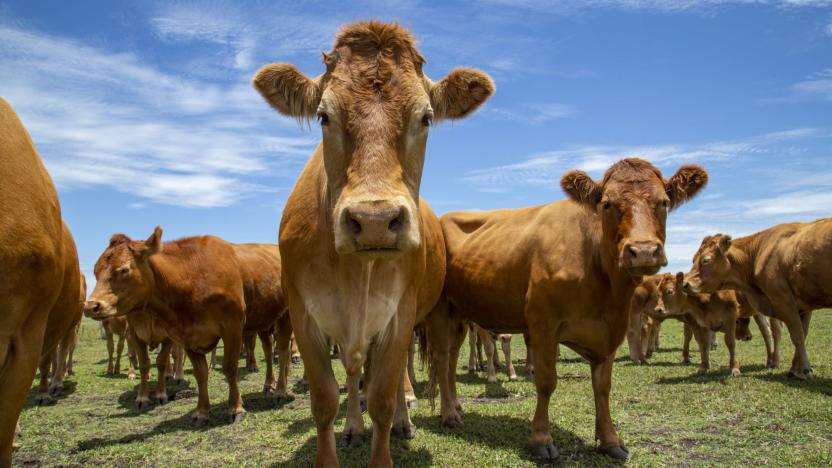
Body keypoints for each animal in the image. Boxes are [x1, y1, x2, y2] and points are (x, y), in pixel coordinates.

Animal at [84, 229, 249, 426]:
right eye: (95, 272)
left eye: (124, 269)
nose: (90, 306)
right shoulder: (148, 334)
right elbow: (148, 364)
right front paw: (143, 398)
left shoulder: (228, 328)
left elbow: (165, 361)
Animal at [254, 20, 494, 466]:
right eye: (323, 115)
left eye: (426, 118)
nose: (375, 221)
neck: (355, 273)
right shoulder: (304, 316)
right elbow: (325, 401)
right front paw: (344, 430)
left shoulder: (399, 315)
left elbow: (383, 395)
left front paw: (392, 423)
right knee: (356, 374)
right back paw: (353, 425)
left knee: (430, 365)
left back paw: (421, 416)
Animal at [428, 158, 708, 460]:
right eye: (607, 204)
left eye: (664, 202)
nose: (643, 251)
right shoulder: (543, 325)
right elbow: (546, 382)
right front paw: (541, 440)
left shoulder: (611, 330)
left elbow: (603, 387)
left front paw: (610, 440)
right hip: (441, 310)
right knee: (442, 358)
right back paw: (449, 414)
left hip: (460, 312)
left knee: (452, 358)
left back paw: (455, 407)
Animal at [684, 220, 832, 380]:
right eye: (693, 259)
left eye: (706, 260)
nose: (685, 283)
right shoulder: (803, 307)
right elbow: (802, 335)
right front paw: (795, 369)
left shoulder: (784, 302)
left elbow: (797, 336)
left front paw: (804, 369)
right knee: (768, 332)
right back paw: (771, 361)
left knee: (772, 332)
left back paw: (774, 361)